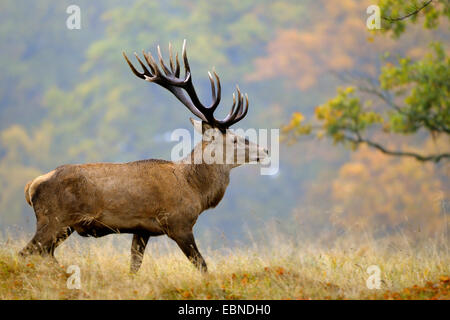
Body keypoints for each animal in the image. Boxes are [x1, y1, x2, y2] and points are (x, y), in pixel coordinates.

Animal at [20, 40, 268, 272]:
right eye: (235, 139)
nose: (265, 150)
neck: (195, 189)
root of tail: (31, 186)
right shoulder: (178, 223)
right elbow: (202, 264)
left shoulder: (142, 230)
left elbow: (134, 266)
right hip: (54, 220)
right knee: (27, 252)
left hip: (63, 226)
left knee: (44, 253)